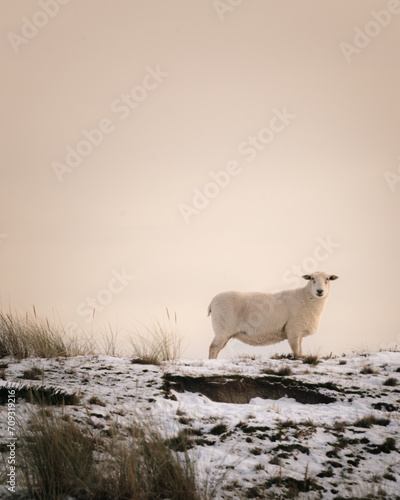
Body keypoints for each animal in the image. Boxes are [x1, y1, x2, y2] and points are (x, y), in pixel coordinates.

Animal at [208, 274, 340, 360]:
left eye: (327, 279)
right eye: (312, 278)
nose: (320, 291)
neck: (306, 297)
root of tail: (212, 302)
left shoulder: (299, 331)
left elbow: (300, 350)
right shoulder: (293, 329)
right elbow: (296, 350)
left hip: (225, 333)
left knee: (217, 348)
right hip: (223, 328)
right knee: (213, 347)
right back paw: (212, 361)